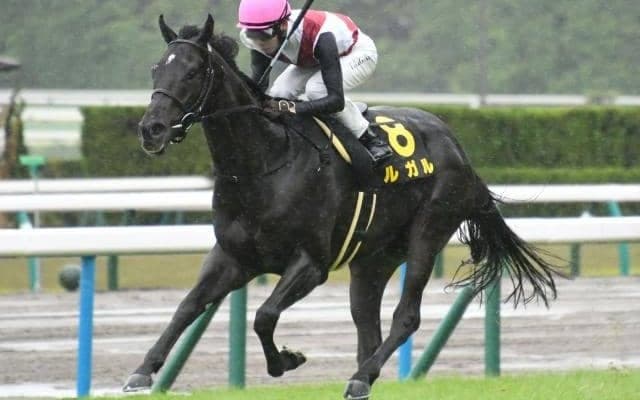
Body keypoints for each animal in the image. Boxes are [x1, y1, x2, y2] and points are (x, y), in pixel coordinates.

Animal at [125, 14, 563, 399]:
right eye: (155, 69)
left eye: (193, 72)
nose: (151, 130)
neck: (264, 163)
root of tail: (457, 146)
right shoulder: (232, 257)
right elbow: (187, 307)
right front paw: (142, 371)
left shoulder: (311, 263)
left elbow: (264, 316)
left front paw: (287, 359)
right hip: (373, 259)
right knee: (367, 327)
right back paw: (364, 377)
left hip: (428, 232)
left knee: (406, 316)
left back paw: (360, 378)